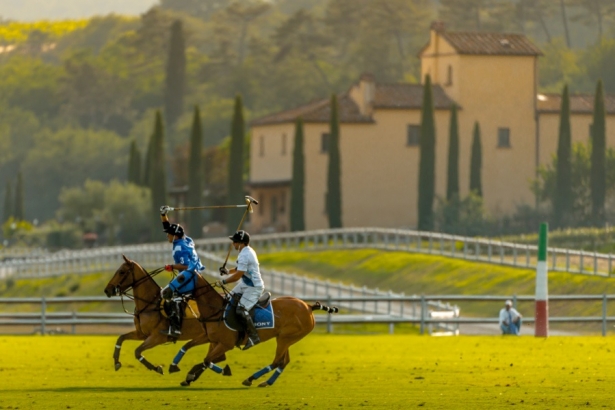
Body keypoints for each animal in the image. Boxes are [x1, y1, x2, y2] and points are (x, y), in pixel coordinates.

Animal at [180, 272, 340, 388]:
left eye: (181, 278)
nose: (172, 292)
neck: (217, 310)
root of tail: (309, 307)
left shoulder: (226, 343)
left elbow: (207, 360)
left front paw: (196, 375)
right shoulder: (210, 337)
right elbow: (199, 354)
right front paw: (189, 376)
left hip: (285, 338)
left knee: (277, 361)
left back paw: (251, 378)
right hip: (285, 338)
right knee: (284, 361)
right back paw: (266, 382)